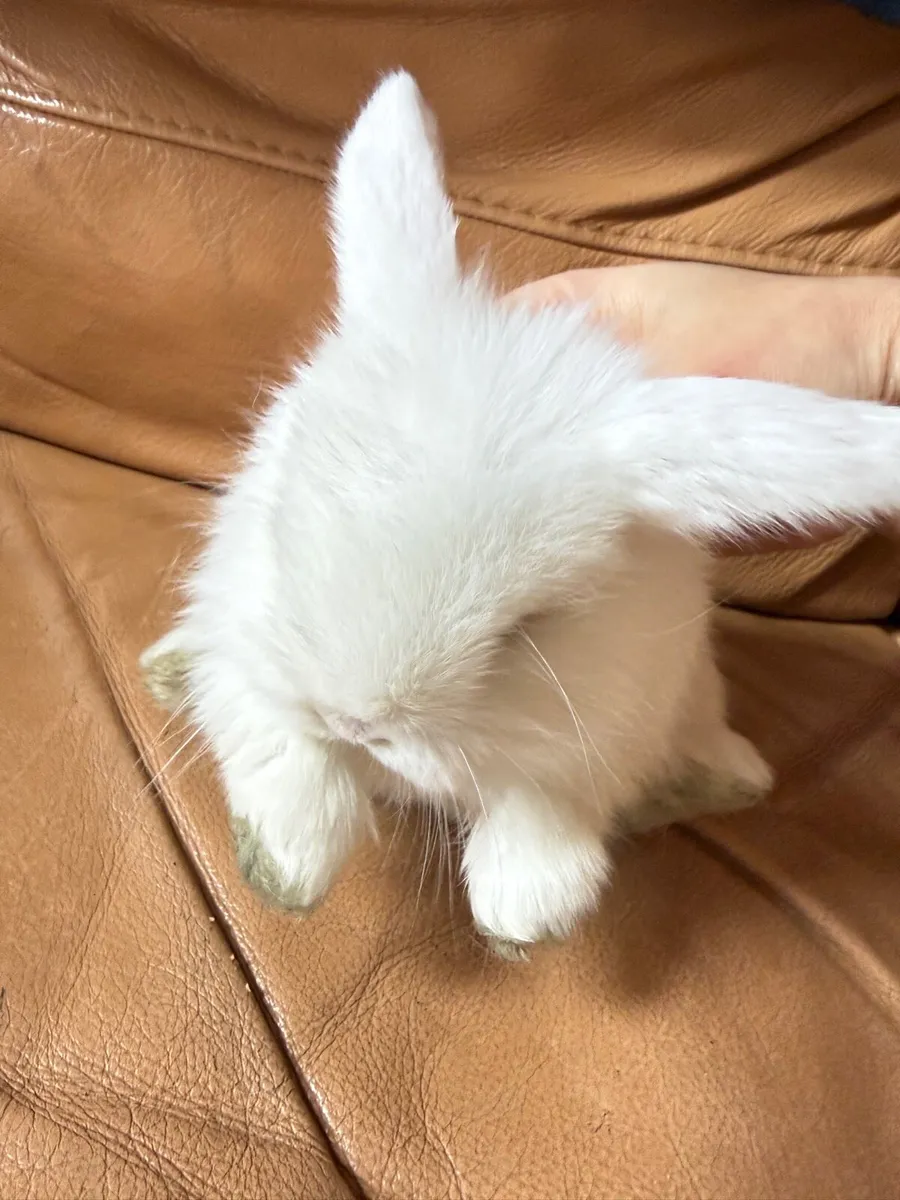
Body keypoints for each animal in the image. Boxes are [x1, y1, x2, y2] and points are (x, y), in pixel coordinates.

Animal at [141, 71, 900, 959]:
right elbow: (277, 746)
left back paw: (720, 779)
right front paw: (284, 864)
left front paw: (524, 910)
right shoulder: (245, 639)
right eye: (285, 529)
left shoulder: (595, 732)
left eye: (523, 630)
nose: (356, 722)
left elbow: (542, 807)